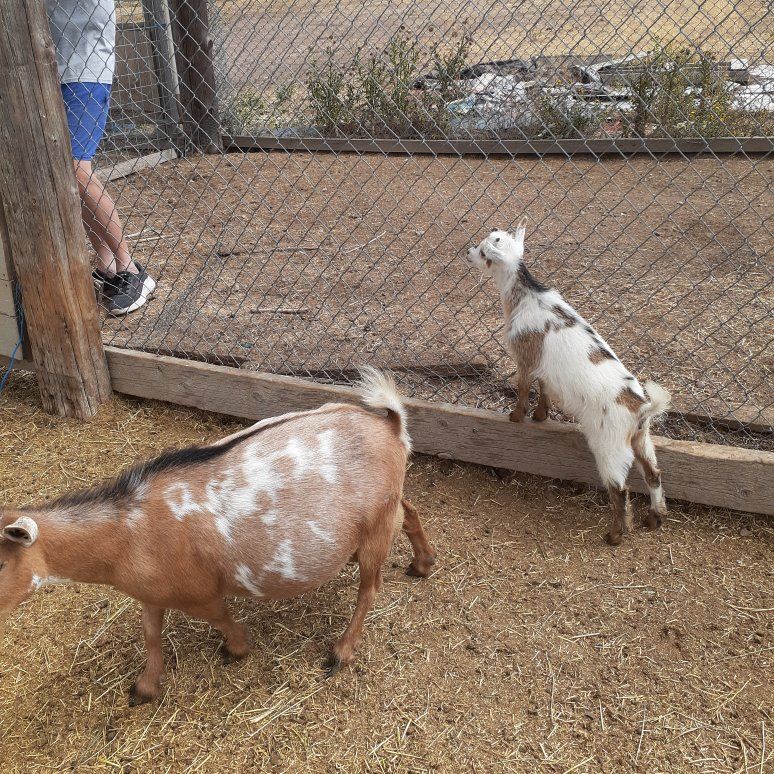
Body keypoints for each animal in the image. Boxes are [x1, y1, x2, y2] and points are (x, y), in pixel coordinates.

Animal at [0, 368, 435, 704]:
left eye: (2, 562)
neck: (126, 534)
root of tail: (390, 423)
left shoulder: (200, 593)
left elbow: (223, 619)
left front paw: (237, 649)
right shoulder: (151, 593)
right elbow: (151, 635)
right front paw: (144, 689)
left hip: (375, 526)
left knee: (370, 588)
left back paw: (341, 652)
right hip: (387, 508)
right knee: (410, 513)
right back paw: (422, 564)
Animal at [465, 219, 670, 545]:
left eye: (484, 251)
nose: (468, 251)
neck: (527, 297)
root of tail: (641, 408)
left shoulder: (525, 357)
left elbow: (523, 386)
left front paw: (516, 416)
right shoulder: (546, 368)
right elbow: (544, 387)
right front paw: (540, 416)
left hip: (609, 446)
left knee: (620, 490)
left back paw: (615, 535)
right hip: (641, 439)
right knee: (653, 474)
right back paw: (654, 519)